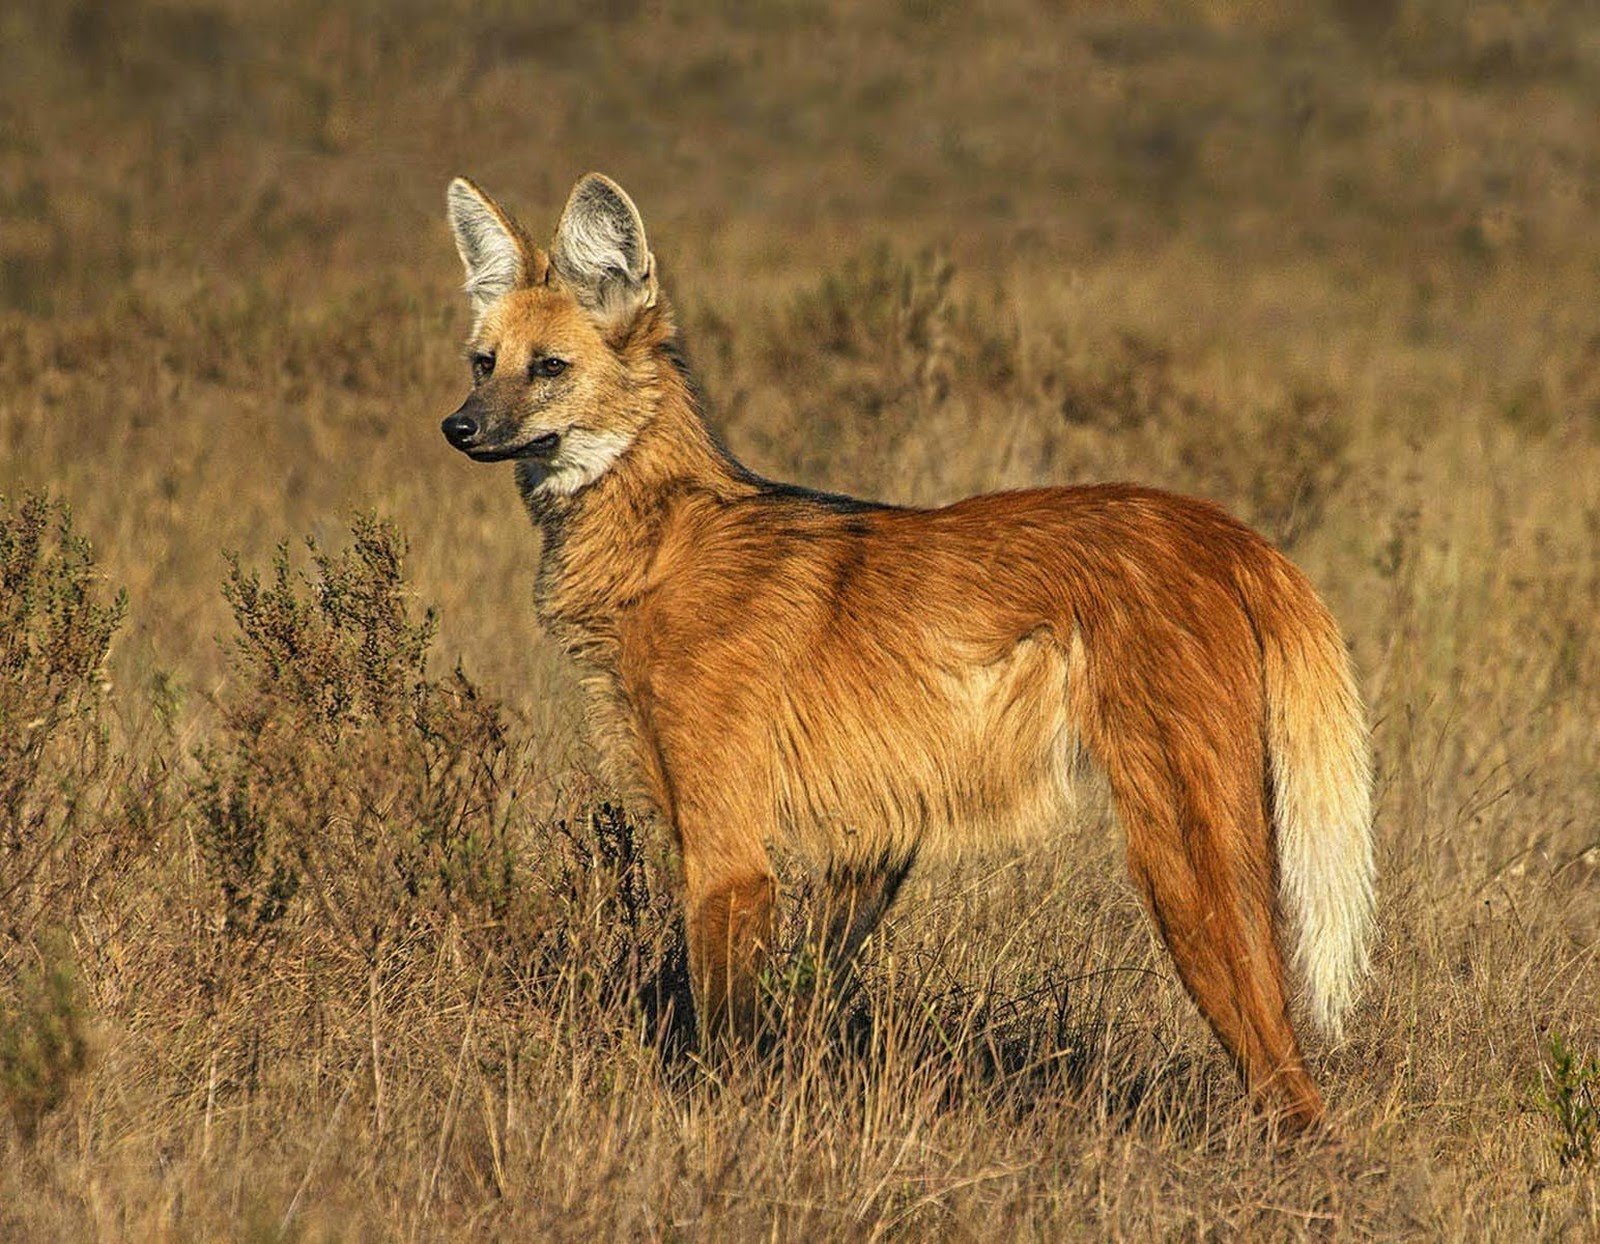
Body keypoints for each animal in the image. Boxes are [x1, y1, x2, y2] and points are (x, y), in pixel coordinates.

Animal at [438, 172, 1375, 1130]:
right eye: (484, 362)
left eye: (549, 367)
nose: (458, 427)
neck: (662, 539)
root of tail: (1229, 531)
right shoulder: (872, 840)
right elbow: (799, 1001)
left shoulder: (730, 854)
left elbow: (723, 1041)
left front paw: (720, 1137)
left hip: (1180, 855)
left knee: (1283, 1066)